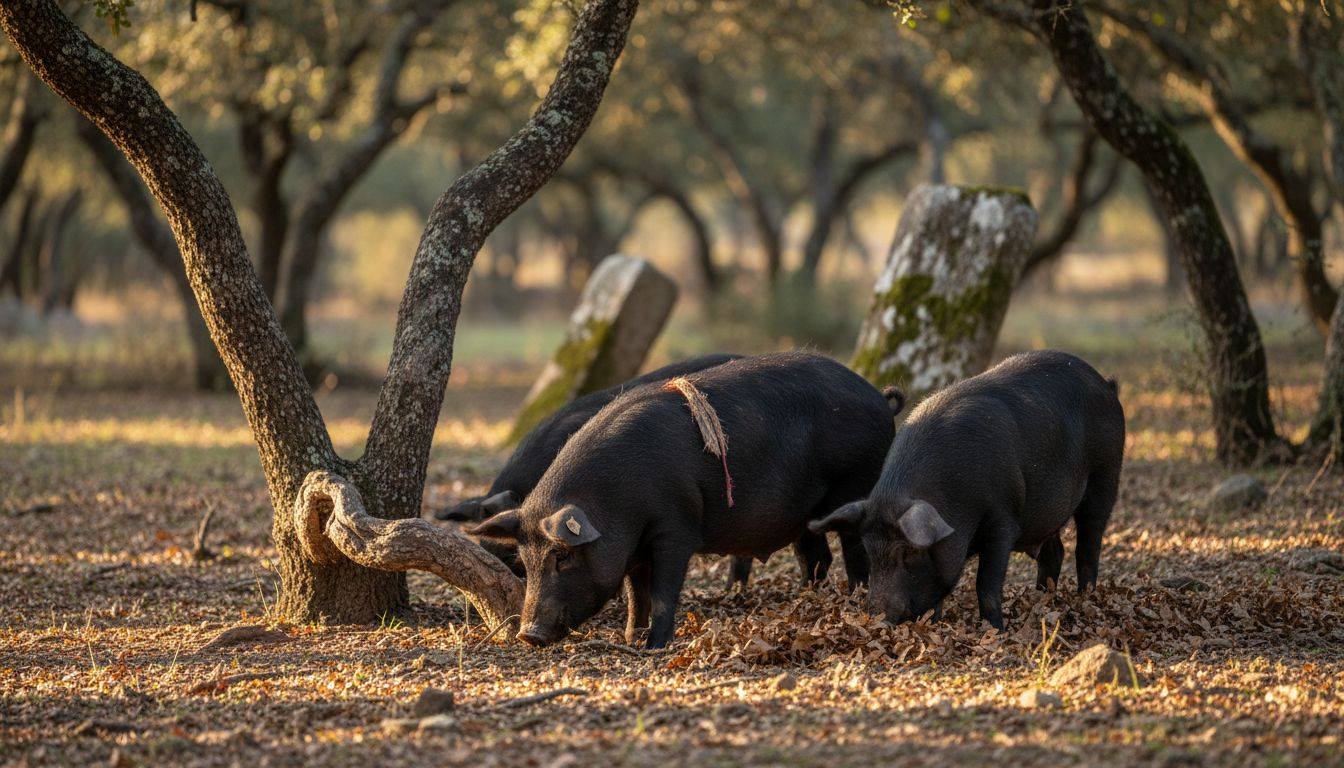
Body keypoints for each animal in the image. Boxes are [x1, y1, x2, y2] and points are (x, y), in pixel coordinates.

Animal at [469, 351, 903, 649]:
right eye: (524, 560)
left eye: (562, 556)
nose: (529, 635)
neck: (616, 501)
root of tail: (878, 398)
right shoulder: (634, 548)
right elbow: (636, 593)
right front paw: (630, 638)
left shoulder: (675, 529)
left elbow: (663, 591)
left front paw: (653, 646)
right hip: (804, 514)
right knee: (815, 557)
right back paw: (809, 599)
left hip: (856, 480)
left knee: (853, 549)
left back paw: (855, 598)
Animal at [809, 350, 1124, 630]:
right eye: (869, 550)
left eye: (909, 551)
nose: (879, 618)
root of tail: (1106, 385)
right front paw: (934, 623)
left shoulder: (1004, 518)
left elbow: (986, 582)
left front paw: (993, 630)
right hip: (1045, 515)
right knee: (1054, 552)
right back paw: (1041, 599)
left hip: (1106, 474)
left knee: (1088, 544)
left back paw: (1085, 598)